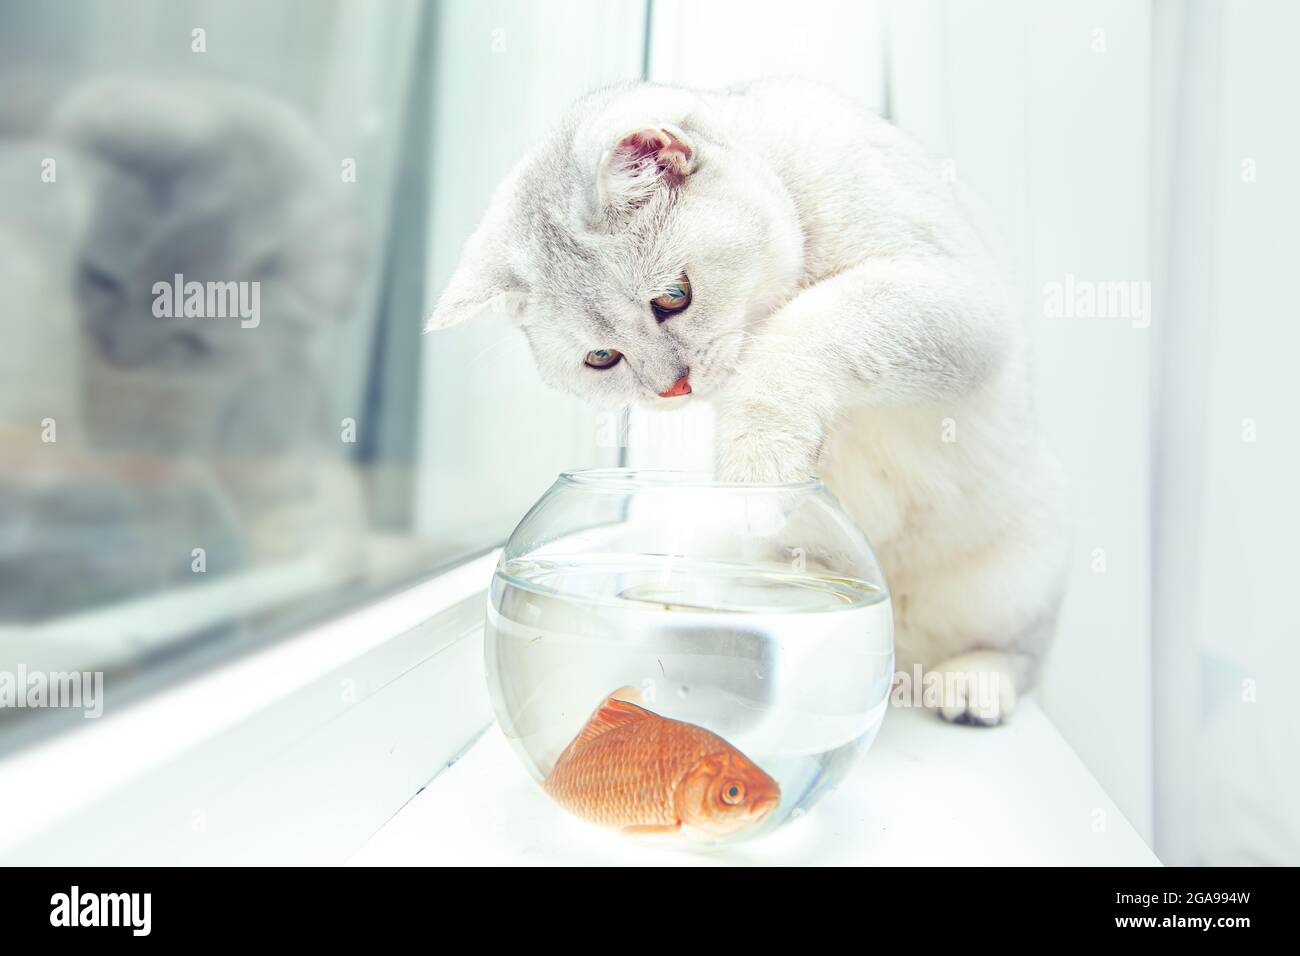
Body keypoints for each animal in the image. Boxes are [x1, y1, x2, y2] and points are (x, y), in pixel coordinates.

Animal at [431, 80, 1060, 723]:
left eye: (673, 296)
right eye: (602, 358)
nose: (671, 388)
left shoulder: (958, 298)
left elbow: (805, 328)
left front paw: (759, 473)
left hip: (1019, 577)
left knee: (1022, 655)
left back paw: (971, 684)